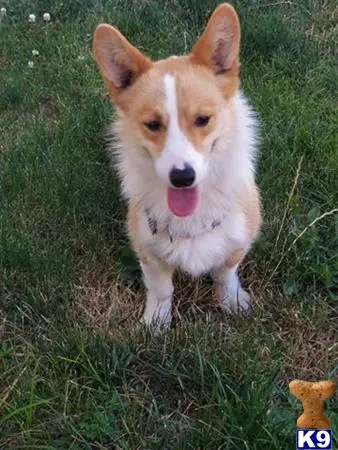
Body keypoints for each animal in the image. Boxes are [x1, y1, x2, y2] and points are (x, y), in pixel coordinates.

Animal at [92, 1, 262, 328]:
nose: (182, 177)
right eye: (152, 124)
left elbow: (226, 273)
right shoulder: (148, 251)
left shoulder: (239, 240)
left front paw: (232, 301)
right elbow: (161, 288)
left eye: (203, 119)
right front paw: (156, 322)